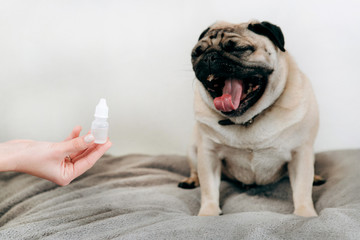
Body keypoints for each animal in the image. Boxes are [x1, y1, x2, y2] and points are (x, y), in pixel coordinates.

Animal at [179, 19, 322, 217]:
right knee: (195, 171)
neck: (248, 118)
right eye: (196, 53)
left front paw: (305, 214)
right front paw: (208, 213)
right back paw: (191, 180)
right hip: (193, 149)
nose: (209, 57)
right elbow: (209, 188)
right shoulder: (208, 154)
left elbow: (302, 188)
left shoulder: (301, 152)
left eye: (240, 49)